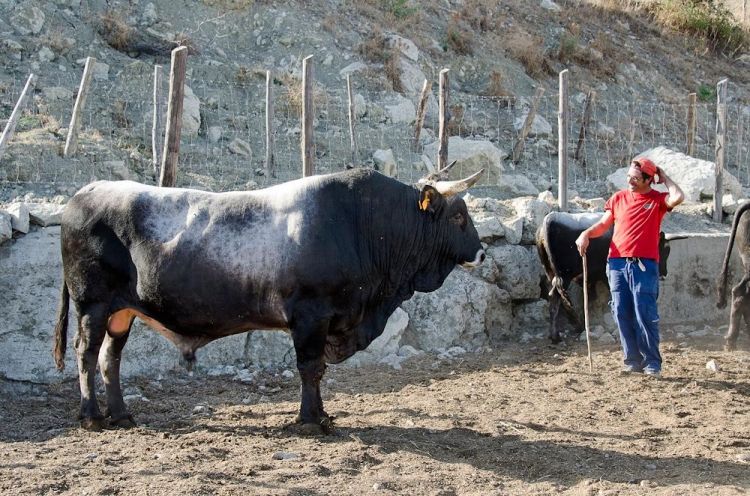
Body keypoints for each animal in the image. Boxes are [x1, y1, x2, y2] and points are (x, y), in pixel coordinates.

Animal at [54, 169, 488, 432]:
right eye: (458, 217)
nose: (483, 253)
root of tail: (85, 193)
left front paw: (320, 414)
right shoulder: (311, 315)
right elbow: (311, 368)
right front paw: (312, 420)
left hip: (121, 311)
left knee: (110, 357)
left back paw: (121, 414)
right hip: (92, 303)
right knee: (86, 353)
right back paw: (92, 416)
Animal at [536, 211, 680, 342]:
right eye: (663, 250)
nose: (664, 273)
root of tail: (550, 219)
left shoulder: (589, 278)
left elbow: (588, 299)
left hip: (552, 273)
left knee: (554, 297)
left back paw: (561, 332)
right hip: (564, 275)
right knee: (558, 297)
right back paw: (563, 332)